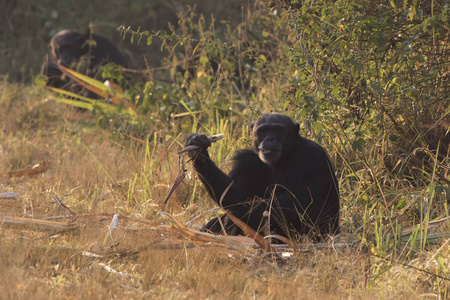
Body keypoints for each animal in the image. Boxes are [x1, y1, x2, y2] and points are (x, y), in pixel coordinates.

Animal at [185, 113, 340, 241]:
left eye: (277, 129)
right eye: (263, 130)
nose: (269, 138)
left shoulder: (311, 156)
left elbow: (302, 199)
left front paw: (238, 215)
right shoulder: (246, 160)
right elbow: (235, 194)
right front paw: (197, 147)